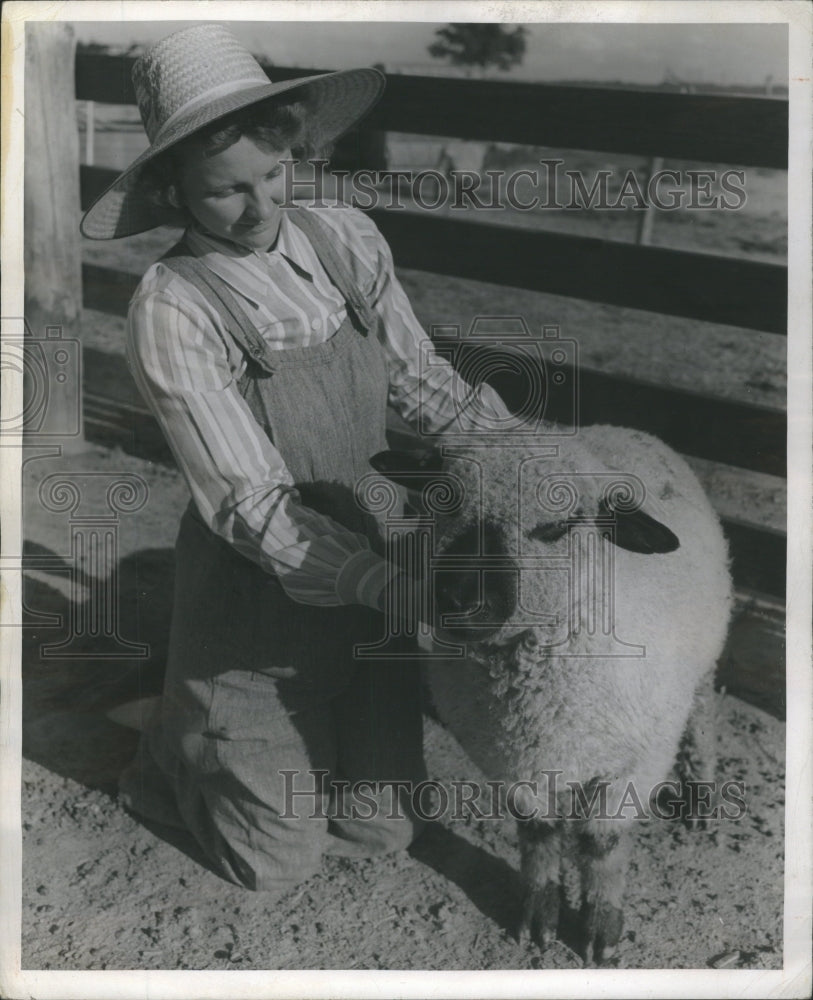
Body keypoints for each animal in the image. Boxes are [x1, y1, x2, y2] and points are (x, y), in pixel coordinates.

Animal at [372, 426, 732, 964]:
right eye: (442, 499)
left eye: (557, 527)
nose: (456, 599)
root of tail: (630, 430)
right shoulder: (512, 759)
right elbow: (538, 835)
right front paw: (538, 917)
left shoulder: (637, 760)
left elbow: (603, 844)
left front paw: (601, 928)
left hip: (704, 660)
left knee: (703, 717)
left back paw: (701, 798)